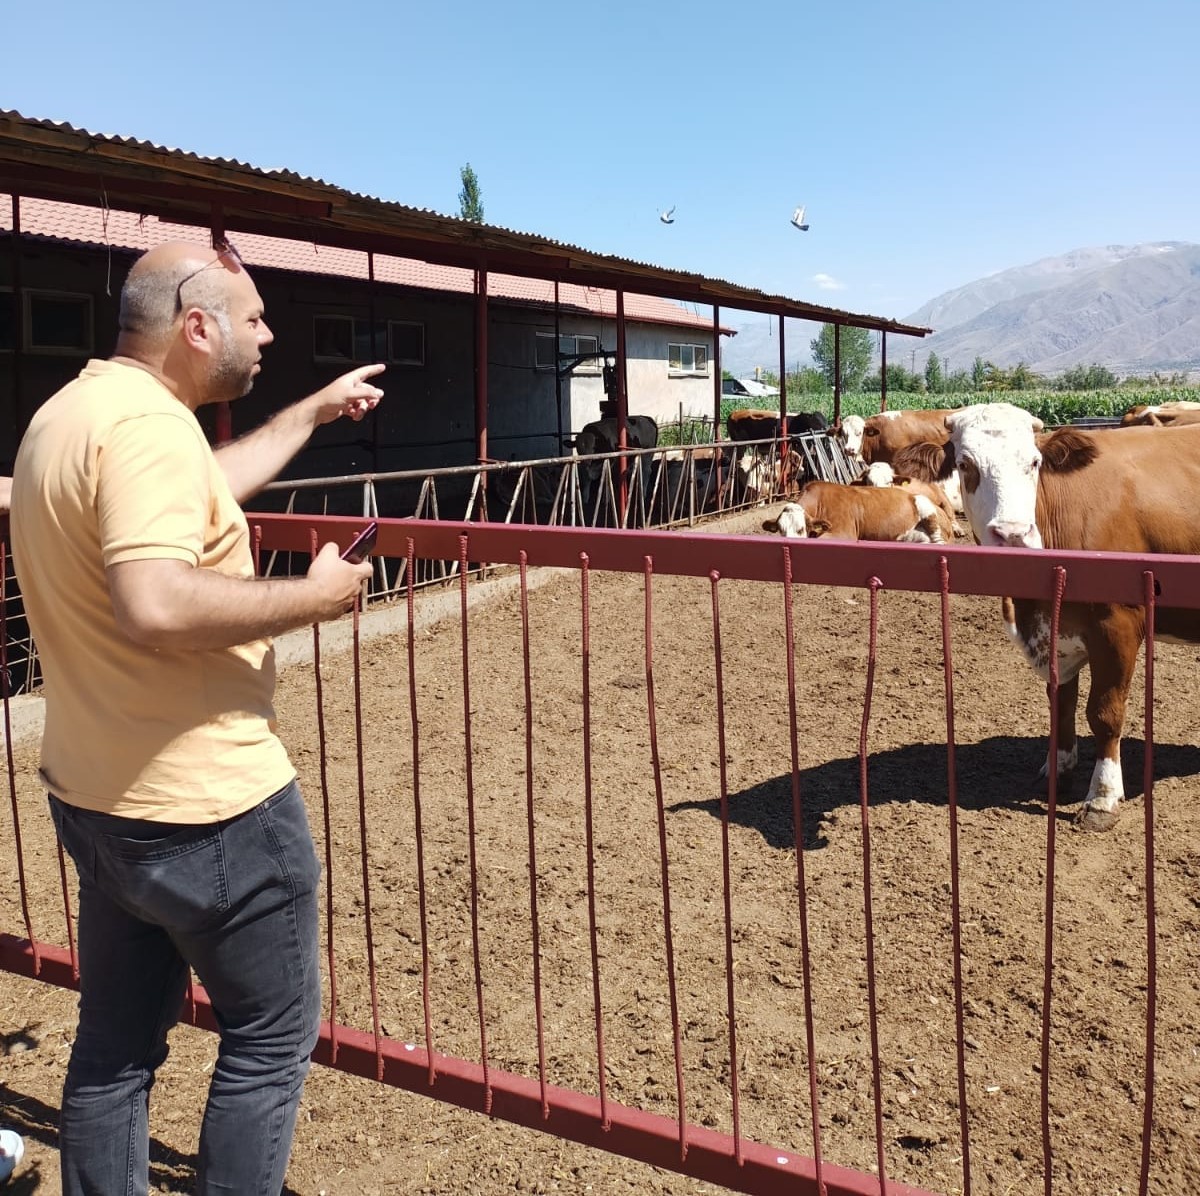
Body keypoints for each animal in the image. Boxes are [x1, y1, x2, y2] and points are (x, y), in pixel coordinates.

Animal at [936, 400, 1200, 830]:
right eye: (965, 464)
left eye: (1034, 462)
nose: (1013, 535)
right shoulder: (1054, 633)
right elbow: (1061, 704)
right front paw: (1058, 772)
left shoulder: (1118, 625)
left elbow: (1105, 712)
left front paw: (1103, 798)